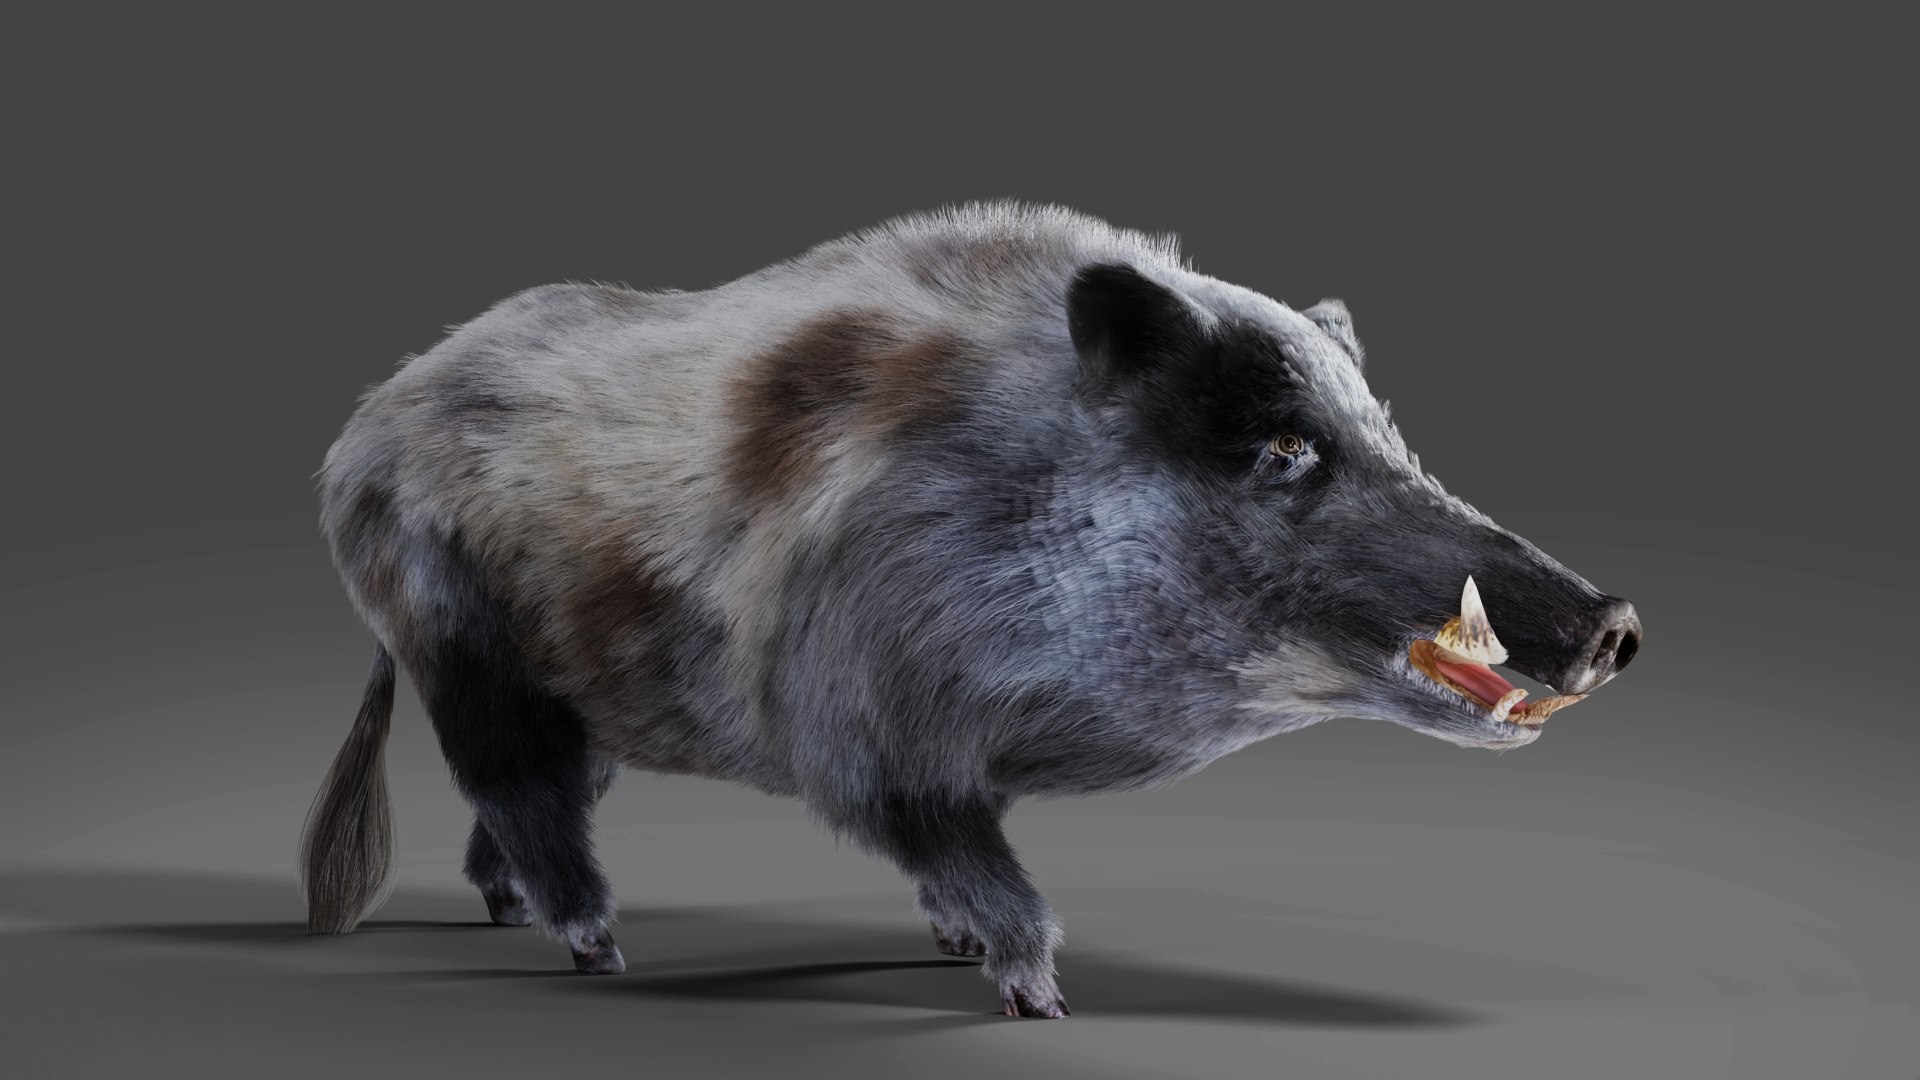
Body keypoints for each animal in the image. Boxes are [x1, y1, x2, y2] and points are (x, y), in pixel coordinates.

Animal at [303, 202, 1641, 1018]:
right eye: (1283, 449)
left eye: (1391, 438)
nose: (1616, 622)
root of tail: (363, 431)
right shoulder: (862, 726)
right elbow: (967, 856)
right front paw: (1039, 999)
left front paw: (955, 948)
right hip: (459, 641)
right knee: (516, 787)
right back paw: (597, 948)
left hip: (582, 691)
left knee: (532, 801)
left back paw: (503, 912)